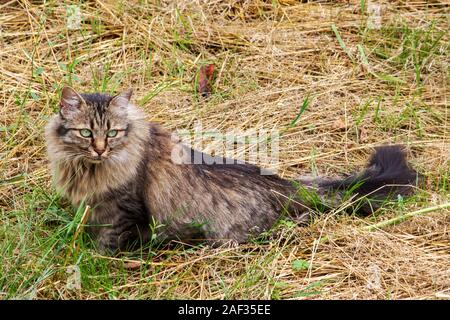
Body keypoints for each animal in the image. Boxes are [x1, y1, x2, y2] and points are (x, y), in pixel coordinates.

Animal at [44, 86, 418, 254]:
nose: (100, 149)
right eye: (86, 133)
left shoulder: (124, 209)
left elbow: (108, 242)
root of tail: (281, 184)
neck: (89, 168)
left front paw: (91, 259)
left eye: (112, 133)